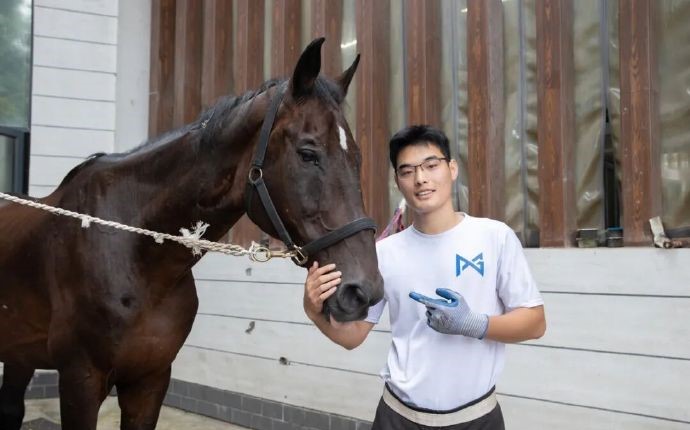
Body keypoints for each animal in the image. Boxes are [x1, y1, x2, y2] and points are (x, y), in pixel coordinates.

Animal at [0, 38, 383, 429]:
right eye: (308, 153)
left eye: (357, 158)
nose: (363, 290)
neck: (136, 254)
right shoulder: (80, 379)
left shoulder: (150, 380)